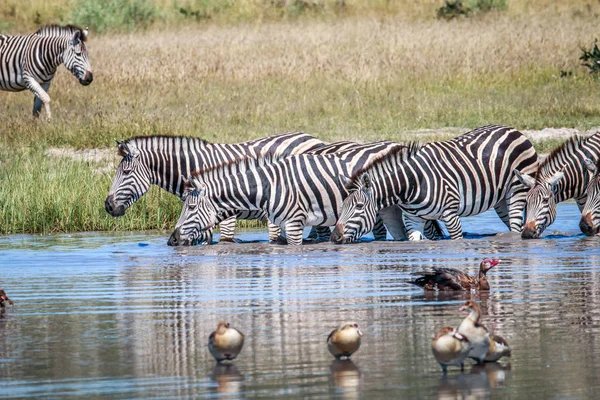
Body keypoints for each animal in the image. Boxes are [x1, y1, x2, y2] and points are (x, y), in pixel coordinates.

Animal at [328, 125, 540, 244]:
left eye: (359, 206)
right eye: (342, 205)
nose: (334, 238)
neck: (411, 184)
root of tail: (513, 130)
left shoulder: (451, 215)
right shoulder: (412, 219)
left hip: (518, 190)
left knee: (515, 225)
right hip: (501, 200)